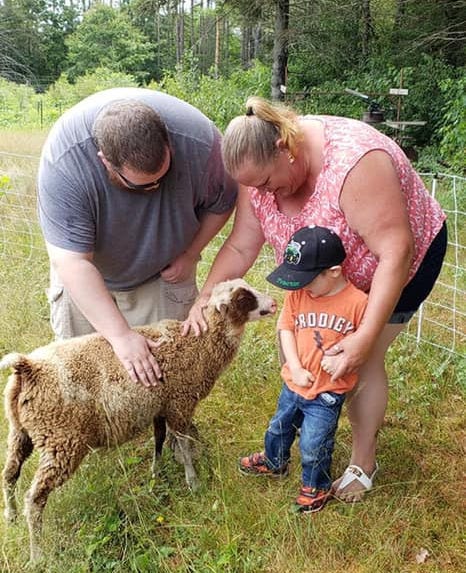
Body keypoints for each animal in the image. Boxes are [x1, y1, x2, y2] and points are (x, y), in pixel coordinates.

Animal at [0, 280, 276, 560]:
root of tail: (27, 367)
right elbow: (184, 445)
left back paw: (11, 516)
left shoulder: (160, 406)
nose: (274, 303)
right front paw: (194, 482)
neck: (199, 344)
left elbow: (159, 440)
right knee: (34, 498)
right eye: (243, 298)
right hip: (62, 441)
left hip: (21, 432)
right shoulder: (180, 404)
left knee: (9, 474)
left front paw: (156, 473)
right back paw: (37, 554)